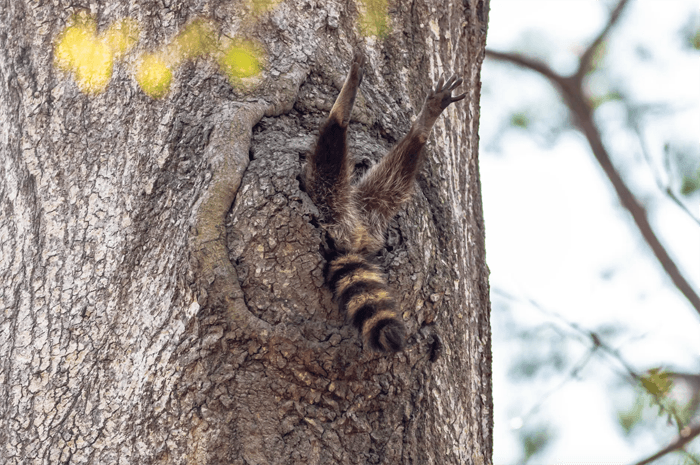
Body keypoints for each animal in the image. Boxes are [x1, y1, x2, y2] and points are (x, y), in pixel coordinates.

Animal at [305, 52, 465, 352]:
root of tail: (351, 238)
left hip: (332, 199)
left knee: (328, 158)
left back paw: (341, 112)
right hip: (370, 206)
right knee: (395, 177)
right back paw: (422, 128)